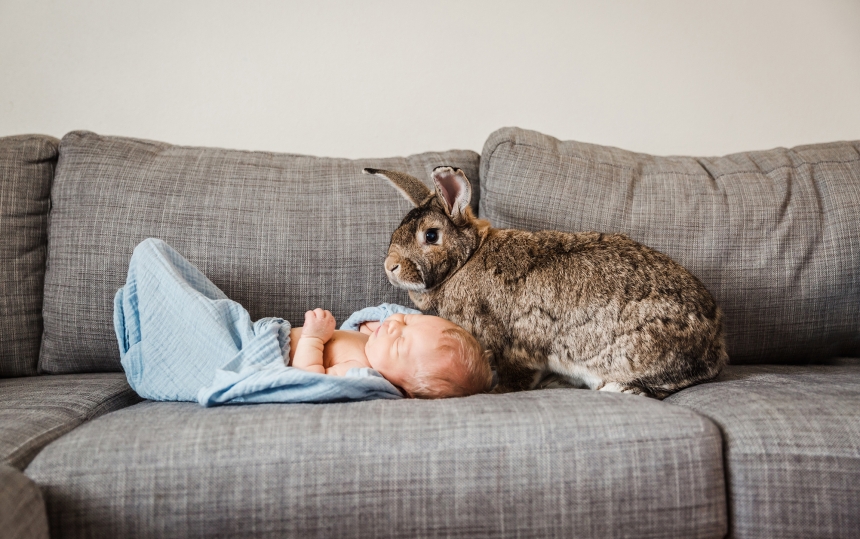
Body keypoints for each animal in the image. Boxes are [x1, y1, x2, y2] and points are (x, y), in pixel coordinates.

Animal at [366, 167, 728, 398]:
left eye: (431, 235)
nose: (390, 266)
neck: (466, 261)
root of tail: (714, 337)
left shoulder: (510, 344)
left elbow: (515, 374)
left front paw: (498, 391)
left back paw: (618, 387)